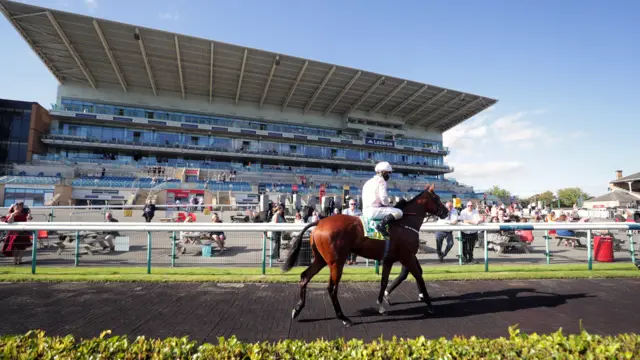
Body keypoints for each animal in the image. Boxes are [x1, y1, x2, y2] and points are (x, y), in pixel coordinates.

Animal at [282, 184, 448, 328]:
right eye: (437, 198)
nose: (446, 212)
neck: (405, 223)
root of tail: (319, 222)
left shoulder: (389, 259)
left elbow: (384, 281)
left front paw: (381, 305)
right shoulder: (407, 256)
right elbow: (419, 276)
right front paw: (429, 303)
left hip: (321, 259)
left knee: (305, 276)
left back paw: (297, 309)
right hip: (336, 262)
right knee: (331, 288)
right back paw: (343, 317)